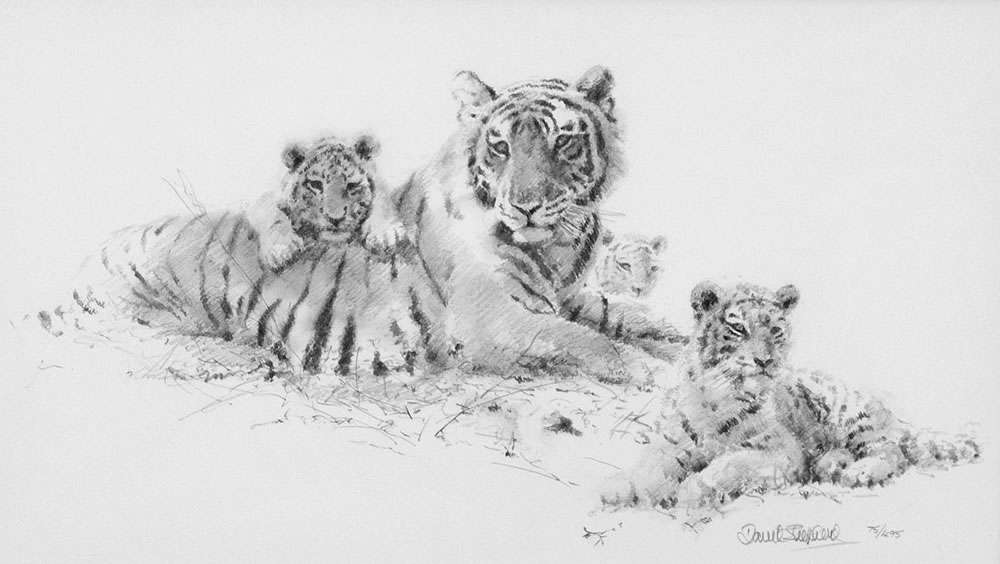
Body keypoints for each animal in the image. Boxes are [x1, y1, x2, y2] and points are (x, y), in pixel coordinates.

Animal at [61, 133, 450, 376]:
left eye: (352, 186)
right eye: (315, 185)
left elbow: (381, 203)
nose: (336, 217)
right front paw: (281, 249)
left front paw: (387, 232)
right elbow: (272, 213)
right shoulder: (264, 204)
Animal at [390, 66, 686, 382]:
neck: (558, 247)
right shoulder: (492, 315)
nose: (526, 206)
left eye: (563, 141)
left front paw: (671, 331)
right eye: (500, 147)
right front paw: (655, 367)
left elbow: (614, 309)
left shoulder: (570, 296)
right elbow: (588, 340)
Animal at [600, 281, 980, 514]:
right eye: (738, 328)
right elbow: (649, 465)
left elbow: (730, 463)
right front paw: (618, 489)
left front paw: (690, 491)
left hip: (853, 418)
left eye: (776, 330)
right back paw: (831, 465)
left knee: (891, 450)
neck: (718, 397)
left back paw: (858, 472)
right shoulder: (672, 441)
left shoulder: (777, 451)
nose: (765, 361)